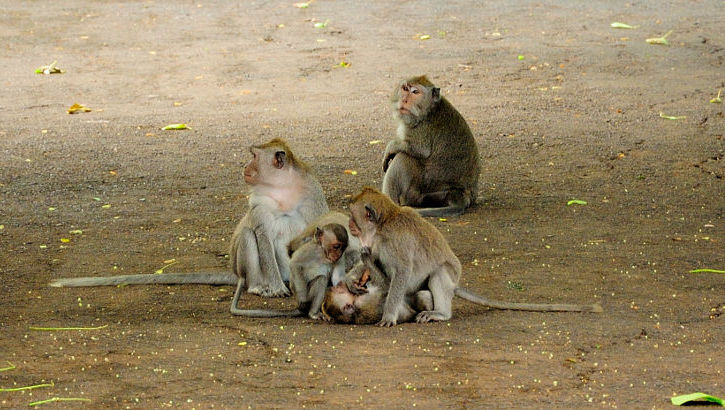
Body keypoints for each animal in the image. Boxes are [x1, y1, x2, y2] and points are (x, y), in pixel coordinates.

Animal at [51, 139, 330, 316]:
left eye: (253, 157)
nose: (244, 167)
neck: (282, 191)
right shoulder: (259, 202)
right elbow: (260, 233)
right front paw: (277, 288)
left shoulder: (311, 192)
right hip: (245, 270)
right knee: (249, 237)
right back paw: (259, 286)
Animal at [341, 187, 601, 327]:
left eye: (354, 217)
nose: (351, 225)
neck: (383, 226)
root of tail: (455, 285)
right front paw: (356, 275)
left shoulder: (396, 242)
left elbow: (402, 273)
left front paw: (389, 315)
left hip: (448, 279)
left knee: (439, 273)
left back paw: (441, 314)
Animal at [382, 75, 481, 217]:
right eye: (405, 88)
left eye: (415, 92)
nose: (404, 100)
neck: (429, 110)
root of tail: (462, 192)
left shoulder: (422, 128)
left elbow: (420, 150)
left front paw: (390, 147)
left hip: (424, 185)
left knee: (403, 157)